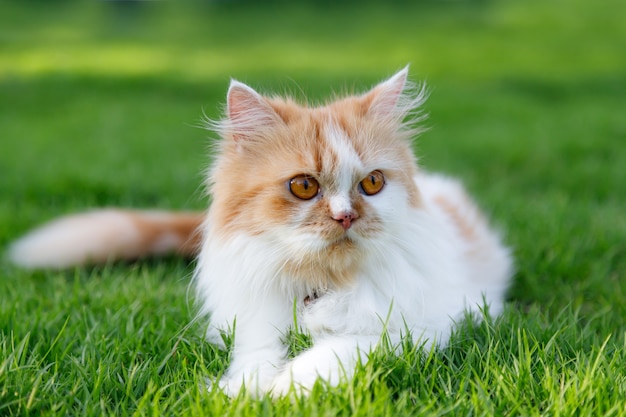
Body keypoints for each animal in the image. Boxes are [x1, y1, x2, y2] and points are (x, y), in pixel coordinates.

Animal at [7, 66, 510, 398]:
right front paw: (239, 393)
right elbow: (256, 363)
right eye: (304, 186)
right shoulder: (255, 328)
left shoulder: (410, 330)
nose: (346, 217)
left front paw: (281, 393)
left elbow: (326, 355)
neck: (321, 284)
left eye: (372, 183)